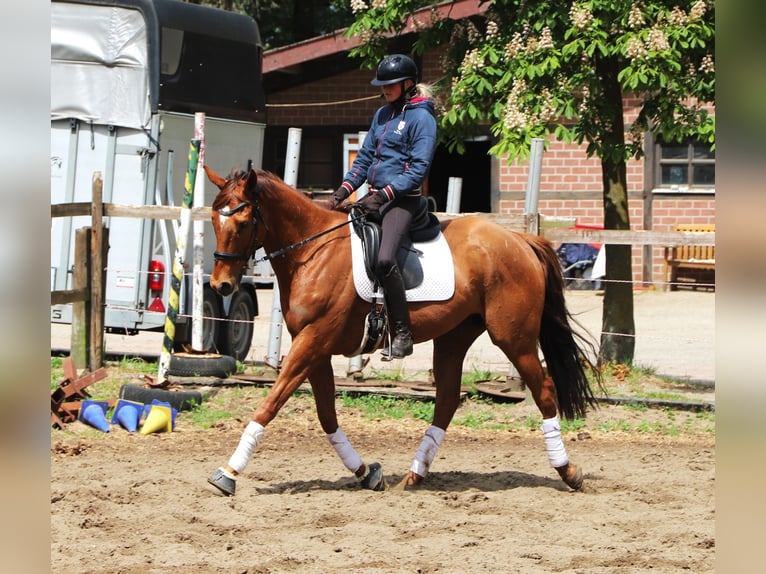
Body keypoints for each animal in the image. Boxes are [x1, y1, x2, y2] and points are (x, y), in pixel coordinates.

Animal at [203, 165, 602, 496]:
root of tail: (520, 241)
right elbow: (326, 415)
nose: (221, 286)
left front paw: (228, 474)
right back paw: (414, 475)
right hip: (454, 336)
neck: (313, 251)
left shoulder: (313, 341)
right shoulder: (315, 347)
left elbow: (269, 404)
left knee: (544, 391)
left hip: (513, 338)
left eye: (241, 224)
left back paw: (568, 472)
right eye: (214, 222)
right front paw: (367, 473)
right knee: (447, 400)